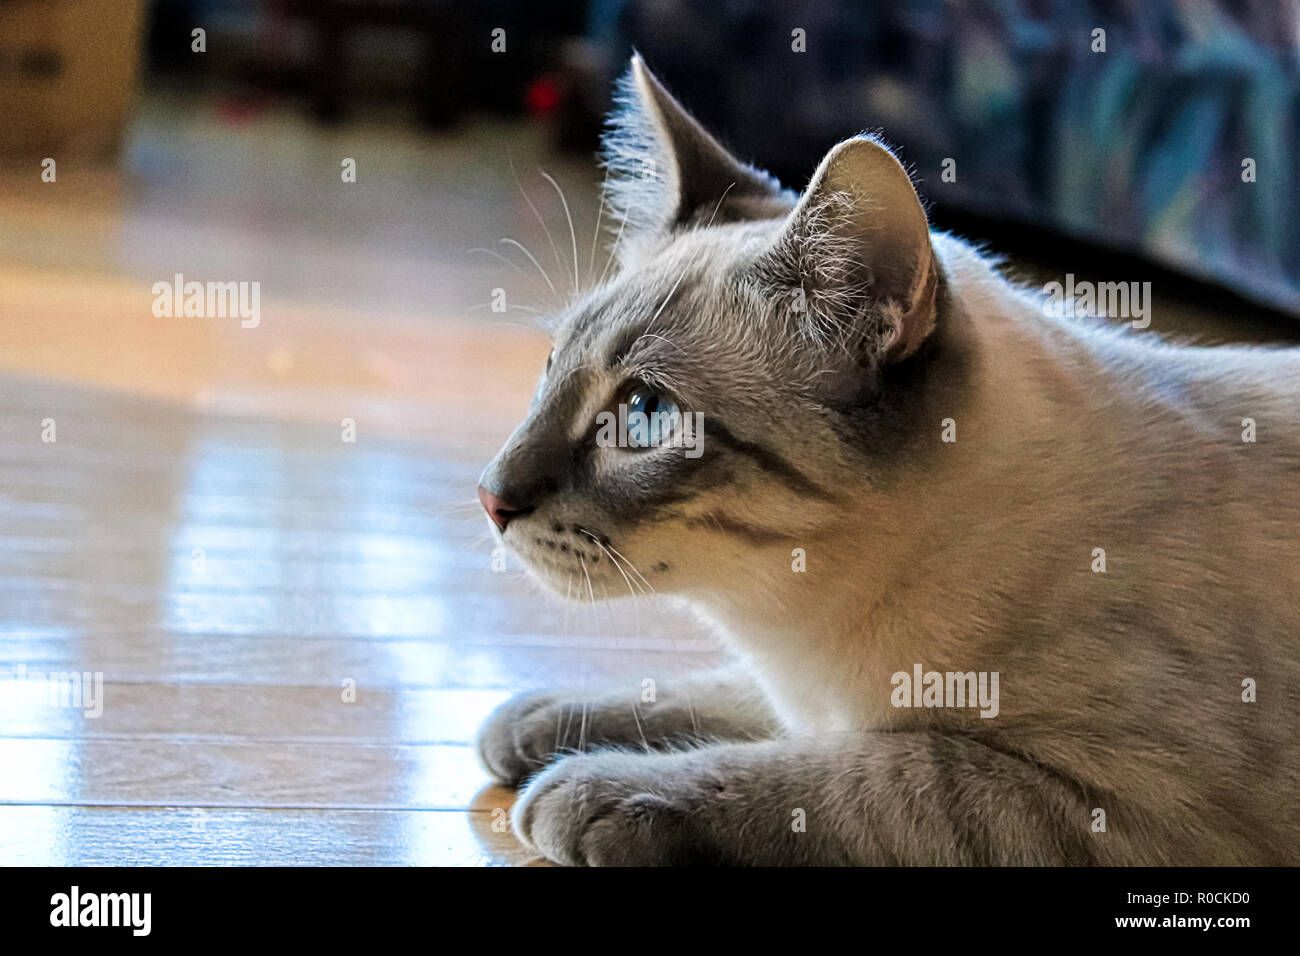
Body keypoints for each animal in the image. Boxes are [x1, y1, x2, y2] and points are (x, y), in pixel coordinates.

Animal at [473, 57, 1294, 868]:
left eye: (644, 413)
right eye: (549, 368)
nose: (489, 497)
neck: (804, 631)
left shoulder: (1097, 802)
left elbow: (849, 774)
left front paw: (582, 787)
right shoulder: (793, 691)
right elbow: (707, 695)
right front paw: (537, 720)